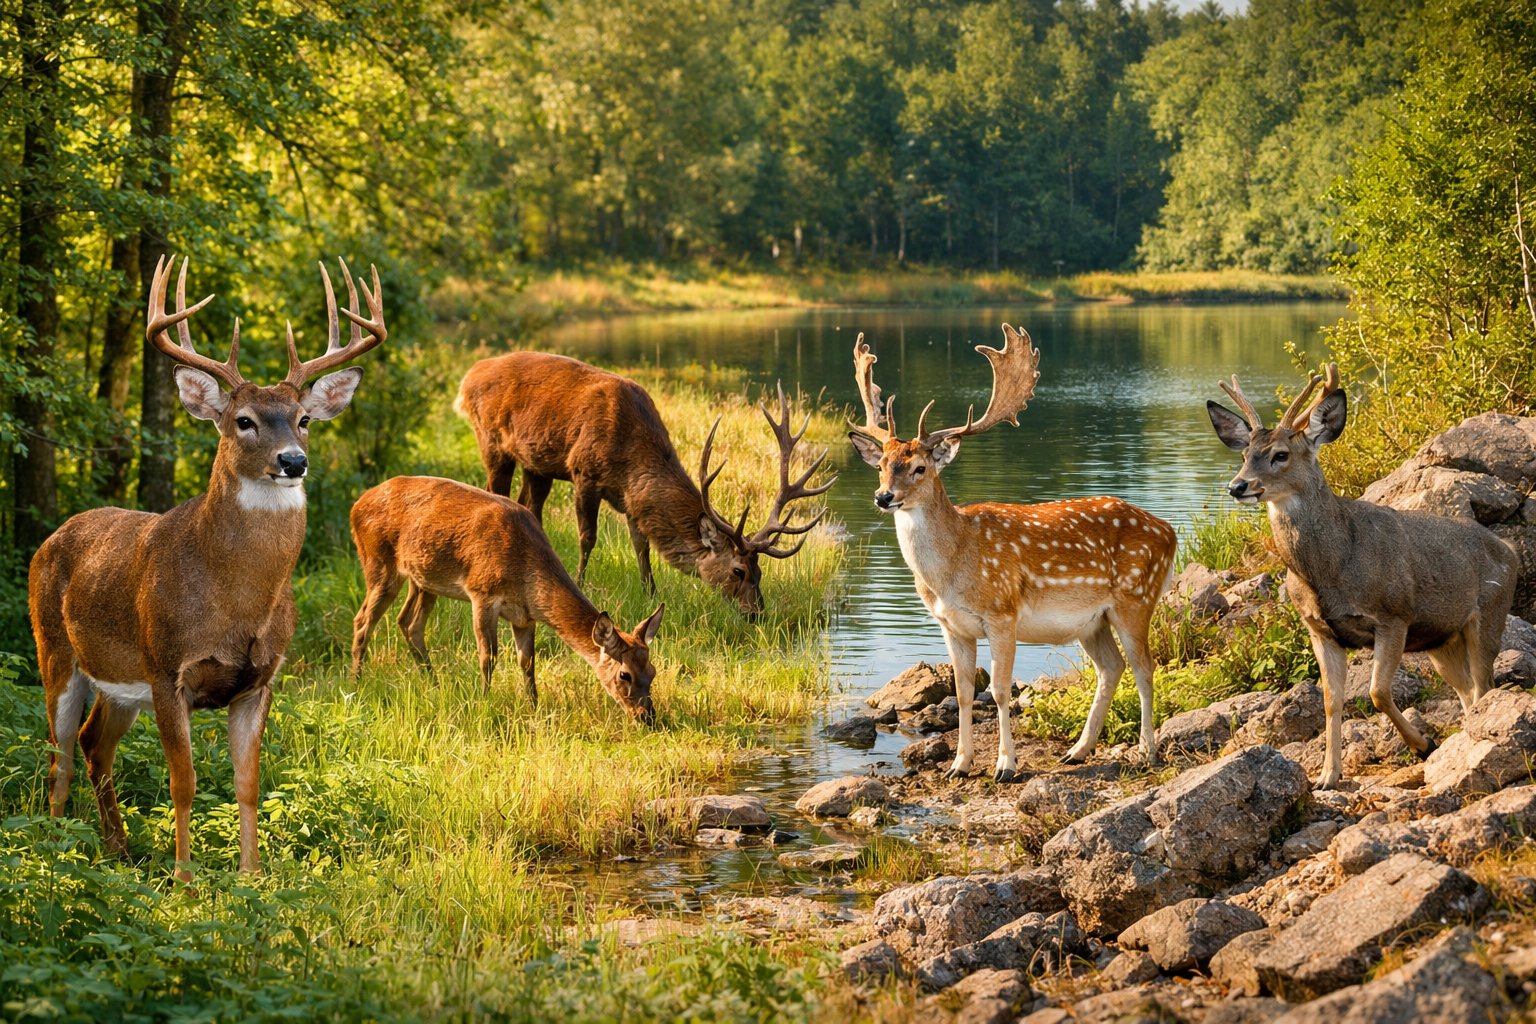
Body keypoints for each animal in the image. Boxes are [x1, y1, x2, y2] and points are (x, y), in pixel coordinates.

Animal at [28, 254, 386, 880]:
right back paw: (57, 853)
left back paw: (119, 850)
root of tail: (49, 539)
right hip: (57, 651)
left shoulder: (260, 680)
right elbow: (185, 784)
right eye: (243, 420)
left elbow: (248, 784)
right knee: (60, 753)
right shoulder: (168, 669)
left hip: (121, 684)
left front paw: (252, 876)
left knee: (96, 746)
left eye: (303, 419)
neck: (235, 599)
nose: (293, 460)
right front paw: (186, 882)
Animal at [348, 475, 665, 720]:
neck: (524, 574)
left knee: (409, 622)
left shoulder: (525, 617)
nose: (647, 716)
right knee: (363, 620)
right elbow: (488, 656)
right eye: (624, 675)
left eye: (652, 670)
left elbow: (527, 662)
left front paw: (534, 707)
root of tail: (355, 507)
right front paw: (484, 701)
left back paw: (434, 682)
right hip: (378, 563)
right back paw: (356, 684)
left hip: (423, 580)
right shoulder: (482, 593)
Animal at [453, 352, 832, 617]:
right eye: (738, 570)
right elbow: (587, 537)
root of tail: (468, 377)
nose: (756, 613)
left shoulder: (630, 500)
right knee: (497, 492)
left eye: (760, 570)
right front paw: (580, 582)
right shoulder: (583, 471)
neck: (631, 458)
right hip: (491, 440)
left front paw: (651, 593)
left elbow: (641, 545)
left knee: (529, 505)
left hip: (537, 463)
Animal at [848, 328, 1177, 781]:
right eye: (881, 464)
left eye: (919, 468)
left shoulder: (1003, 614)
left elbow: (1000, 691)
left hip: (1136, 597)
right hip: (1093, 621)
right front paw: (960, 765)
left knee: (1145, 667)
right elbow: (964, 693)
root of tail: (1171, 532)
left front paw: (1005, 766)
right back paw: (1077, 751)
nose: (884, 497)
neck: (954, 570)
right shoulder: (951, 625)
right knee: (1112, 667)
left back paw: (1148, 751)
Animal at [1207, 365, 1519, 788]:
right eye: (1244, 454)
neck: (1330, 569)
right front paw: (1326, 776)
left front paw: (1424, 744)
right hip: (1442, 641)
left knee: (1485, 686)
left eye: (1280, 455)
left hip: (1490, 613)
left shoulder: (1394, 615)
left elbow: (1377, 693)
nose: (1237, 485)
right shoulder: (1320, 630)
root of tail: (1510, 550)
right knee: (1469, 690)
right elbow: (1330, 701)